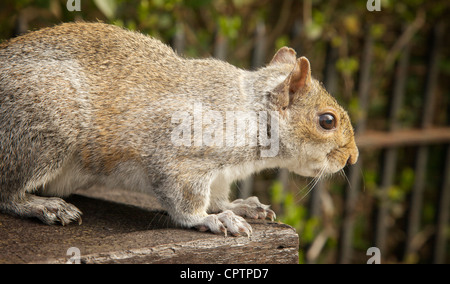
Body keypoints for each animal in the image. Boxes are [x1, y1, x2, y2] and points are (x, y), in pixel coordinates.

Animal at [0, 21, 358, 235]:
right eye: (327, 121)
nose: (352, 158)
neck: (250, 112)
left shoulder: (222, 174)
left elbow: (218, 195)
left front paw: (238, 206)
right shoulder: (181, 154)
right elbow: (185, 200)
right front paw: (211, 219)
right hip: (44, 126)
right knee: (7, 192)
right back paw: (43, 205)